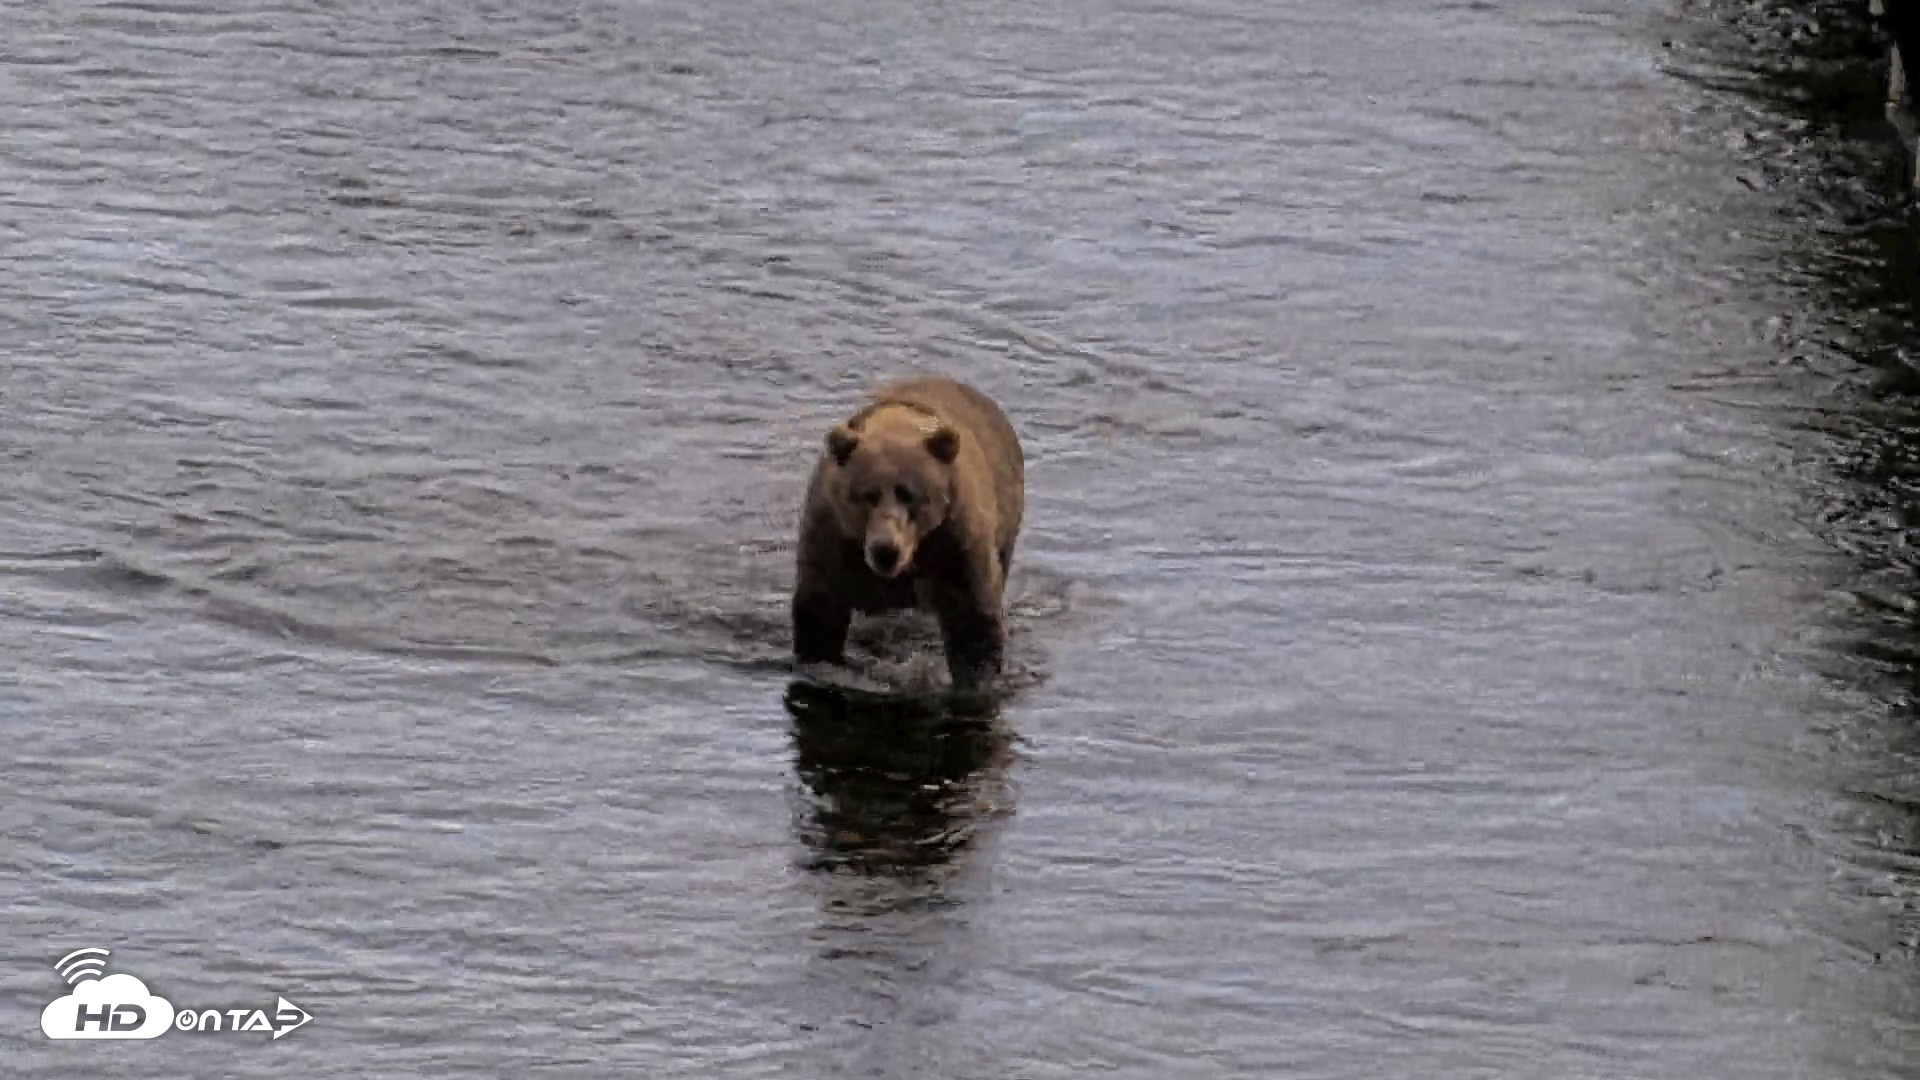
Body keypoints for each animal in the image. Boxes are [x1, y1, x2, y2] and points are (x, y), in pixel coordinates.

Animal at [791, 375, 1026, 695]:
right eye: (867, 495)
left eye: (909, 494)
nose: (885, 550)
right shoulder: (833, 537)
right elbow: (820, 612)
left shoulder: (954, 543)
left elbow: (973, 619)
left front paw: (975, 676)